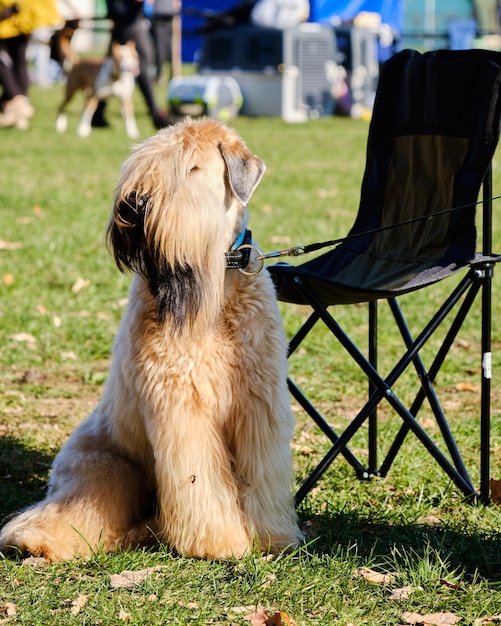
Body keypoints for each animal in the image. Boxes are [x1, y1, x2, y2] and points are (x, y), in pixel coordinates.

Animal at [0, 118, 302, 560]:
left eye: (191, 167)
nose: (133, 205)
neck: (216, 288)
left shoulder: (257, 404)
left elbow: (261, 478)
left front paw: (271, 538)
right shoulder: (183, 410)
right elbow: (201, 486)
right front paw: (220, 544)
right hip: (105, 468)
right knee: (66, 513)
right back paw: (37, 540)